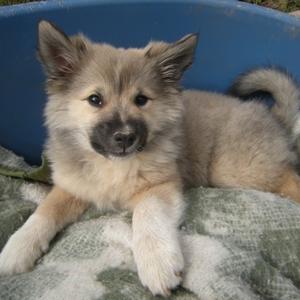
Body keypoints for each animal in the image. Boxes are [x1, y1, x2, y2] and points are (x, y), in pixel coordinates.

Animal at [0, 21, 300, 298]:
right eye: (95, 99)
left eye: (141, 100)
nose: (125, 137)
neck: (112, 165)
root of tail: (272, 118)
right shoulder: (73, 187)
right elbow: (43, 213)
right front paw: (16, 250)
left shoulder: (160, 185)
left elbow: (147, 215)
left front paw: (157, 263)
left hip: (233, 169)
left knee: (288, 175)